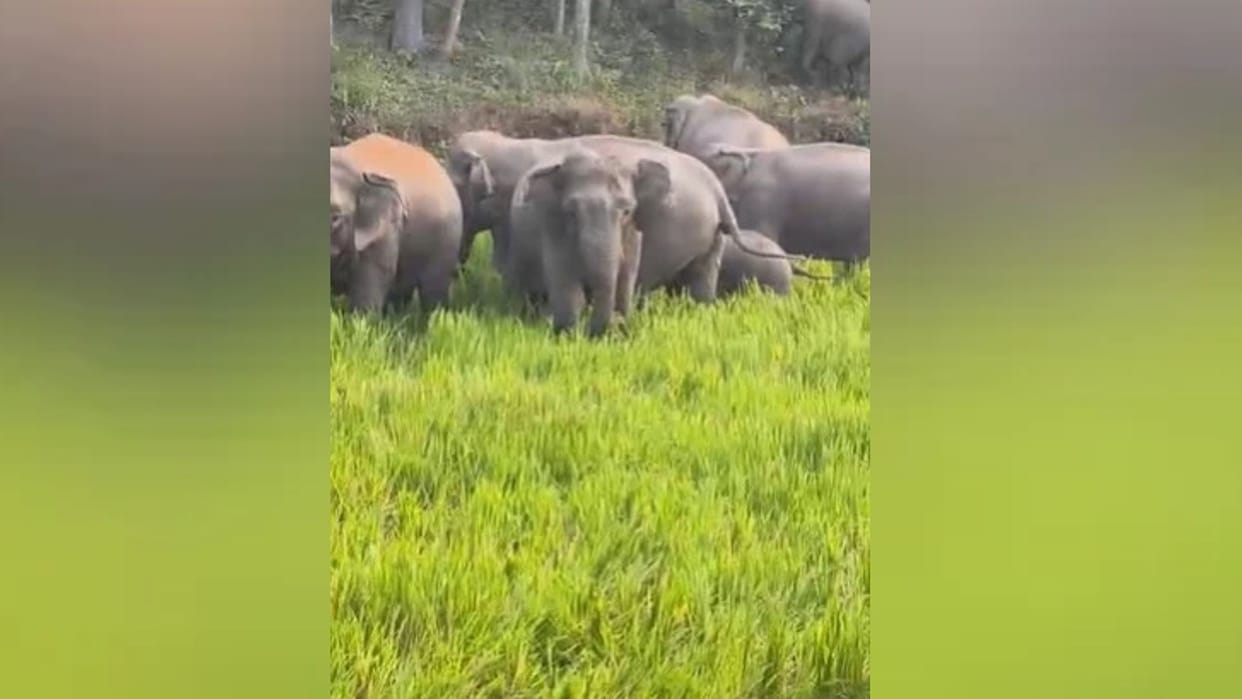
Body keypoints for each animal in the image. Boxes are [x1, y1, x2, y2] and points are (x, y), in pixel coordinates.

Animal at [514, 147, 662, 336]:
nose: (591, 332)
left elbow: (625, 278)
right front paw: (568, 334)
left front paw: (620, 331)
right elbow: (568, 285)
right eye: (571, 213)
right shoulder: (553, 227)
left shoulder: (633, 232)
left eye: (627, 212)